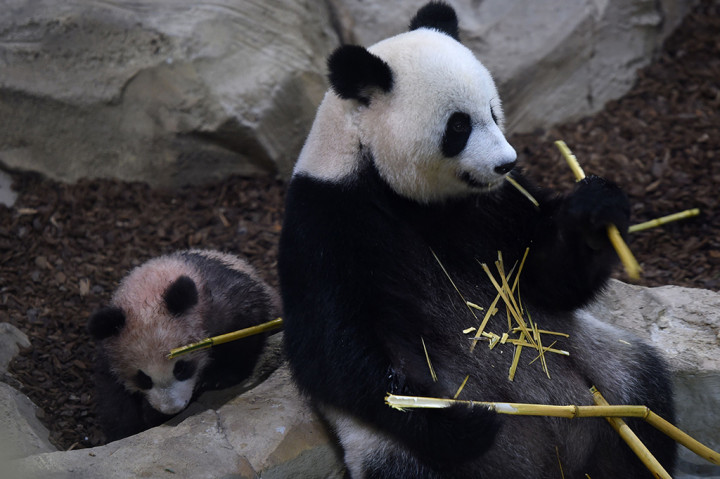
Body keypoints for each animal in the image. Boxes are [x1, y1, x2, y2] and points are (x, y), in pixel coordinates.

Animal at [88, 249, 280, 442]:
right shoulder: (109, 351)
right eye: (143, 378)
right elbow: (114, 398)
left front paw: (215, 379)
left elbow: (244, 332)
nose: (172, 409)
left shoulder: (225, 299)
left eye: (181, 368)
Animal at [278, 2, 677, 478]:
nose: (506, 163)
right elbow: (331, 350)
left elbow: (546, 278)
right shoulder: (327, 222)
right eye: (458, 126)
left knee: (643, 400)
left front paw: (596, 210)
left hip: (600, 371)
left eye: (493, 110)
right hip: (392, 453)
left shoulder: (494, 207)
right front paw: (462, 422)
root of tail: (549, 457)